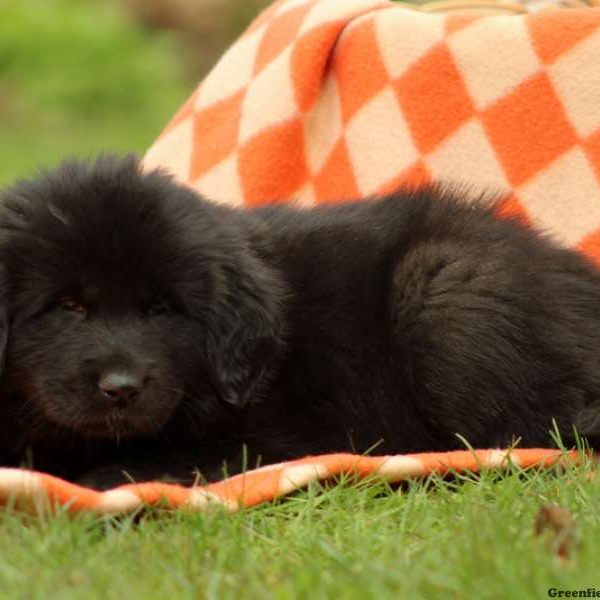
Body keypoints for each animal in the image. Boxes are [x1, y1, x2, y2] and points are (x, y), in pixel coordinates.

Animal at [1, 156, 600, 488]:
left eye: (162, 310)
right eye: (67, 306)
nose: (121, 388)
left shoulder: (280, 436)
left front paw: (106, 477)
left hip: (445, 286)